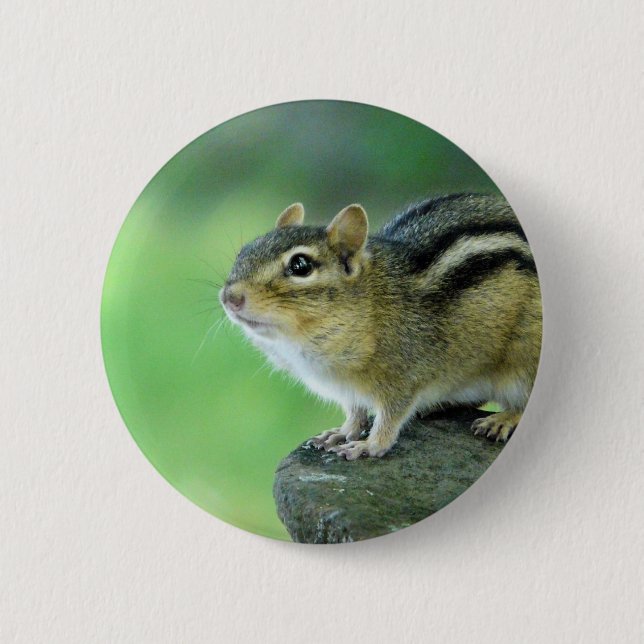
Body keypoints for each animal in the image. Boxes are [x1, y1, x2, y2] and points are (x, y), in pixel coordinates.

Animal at [220, 194, 542, 460]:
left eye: (301, 265)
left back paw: (503, 418)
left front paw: (369, 445)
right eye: (244, 252)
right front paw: (341, 432)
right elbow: (355, 411)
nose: (229, 297)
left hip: (525, 358)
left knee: (524, 399)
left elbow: (391, 417)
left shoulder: (405, 375)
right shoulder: (348, 389)